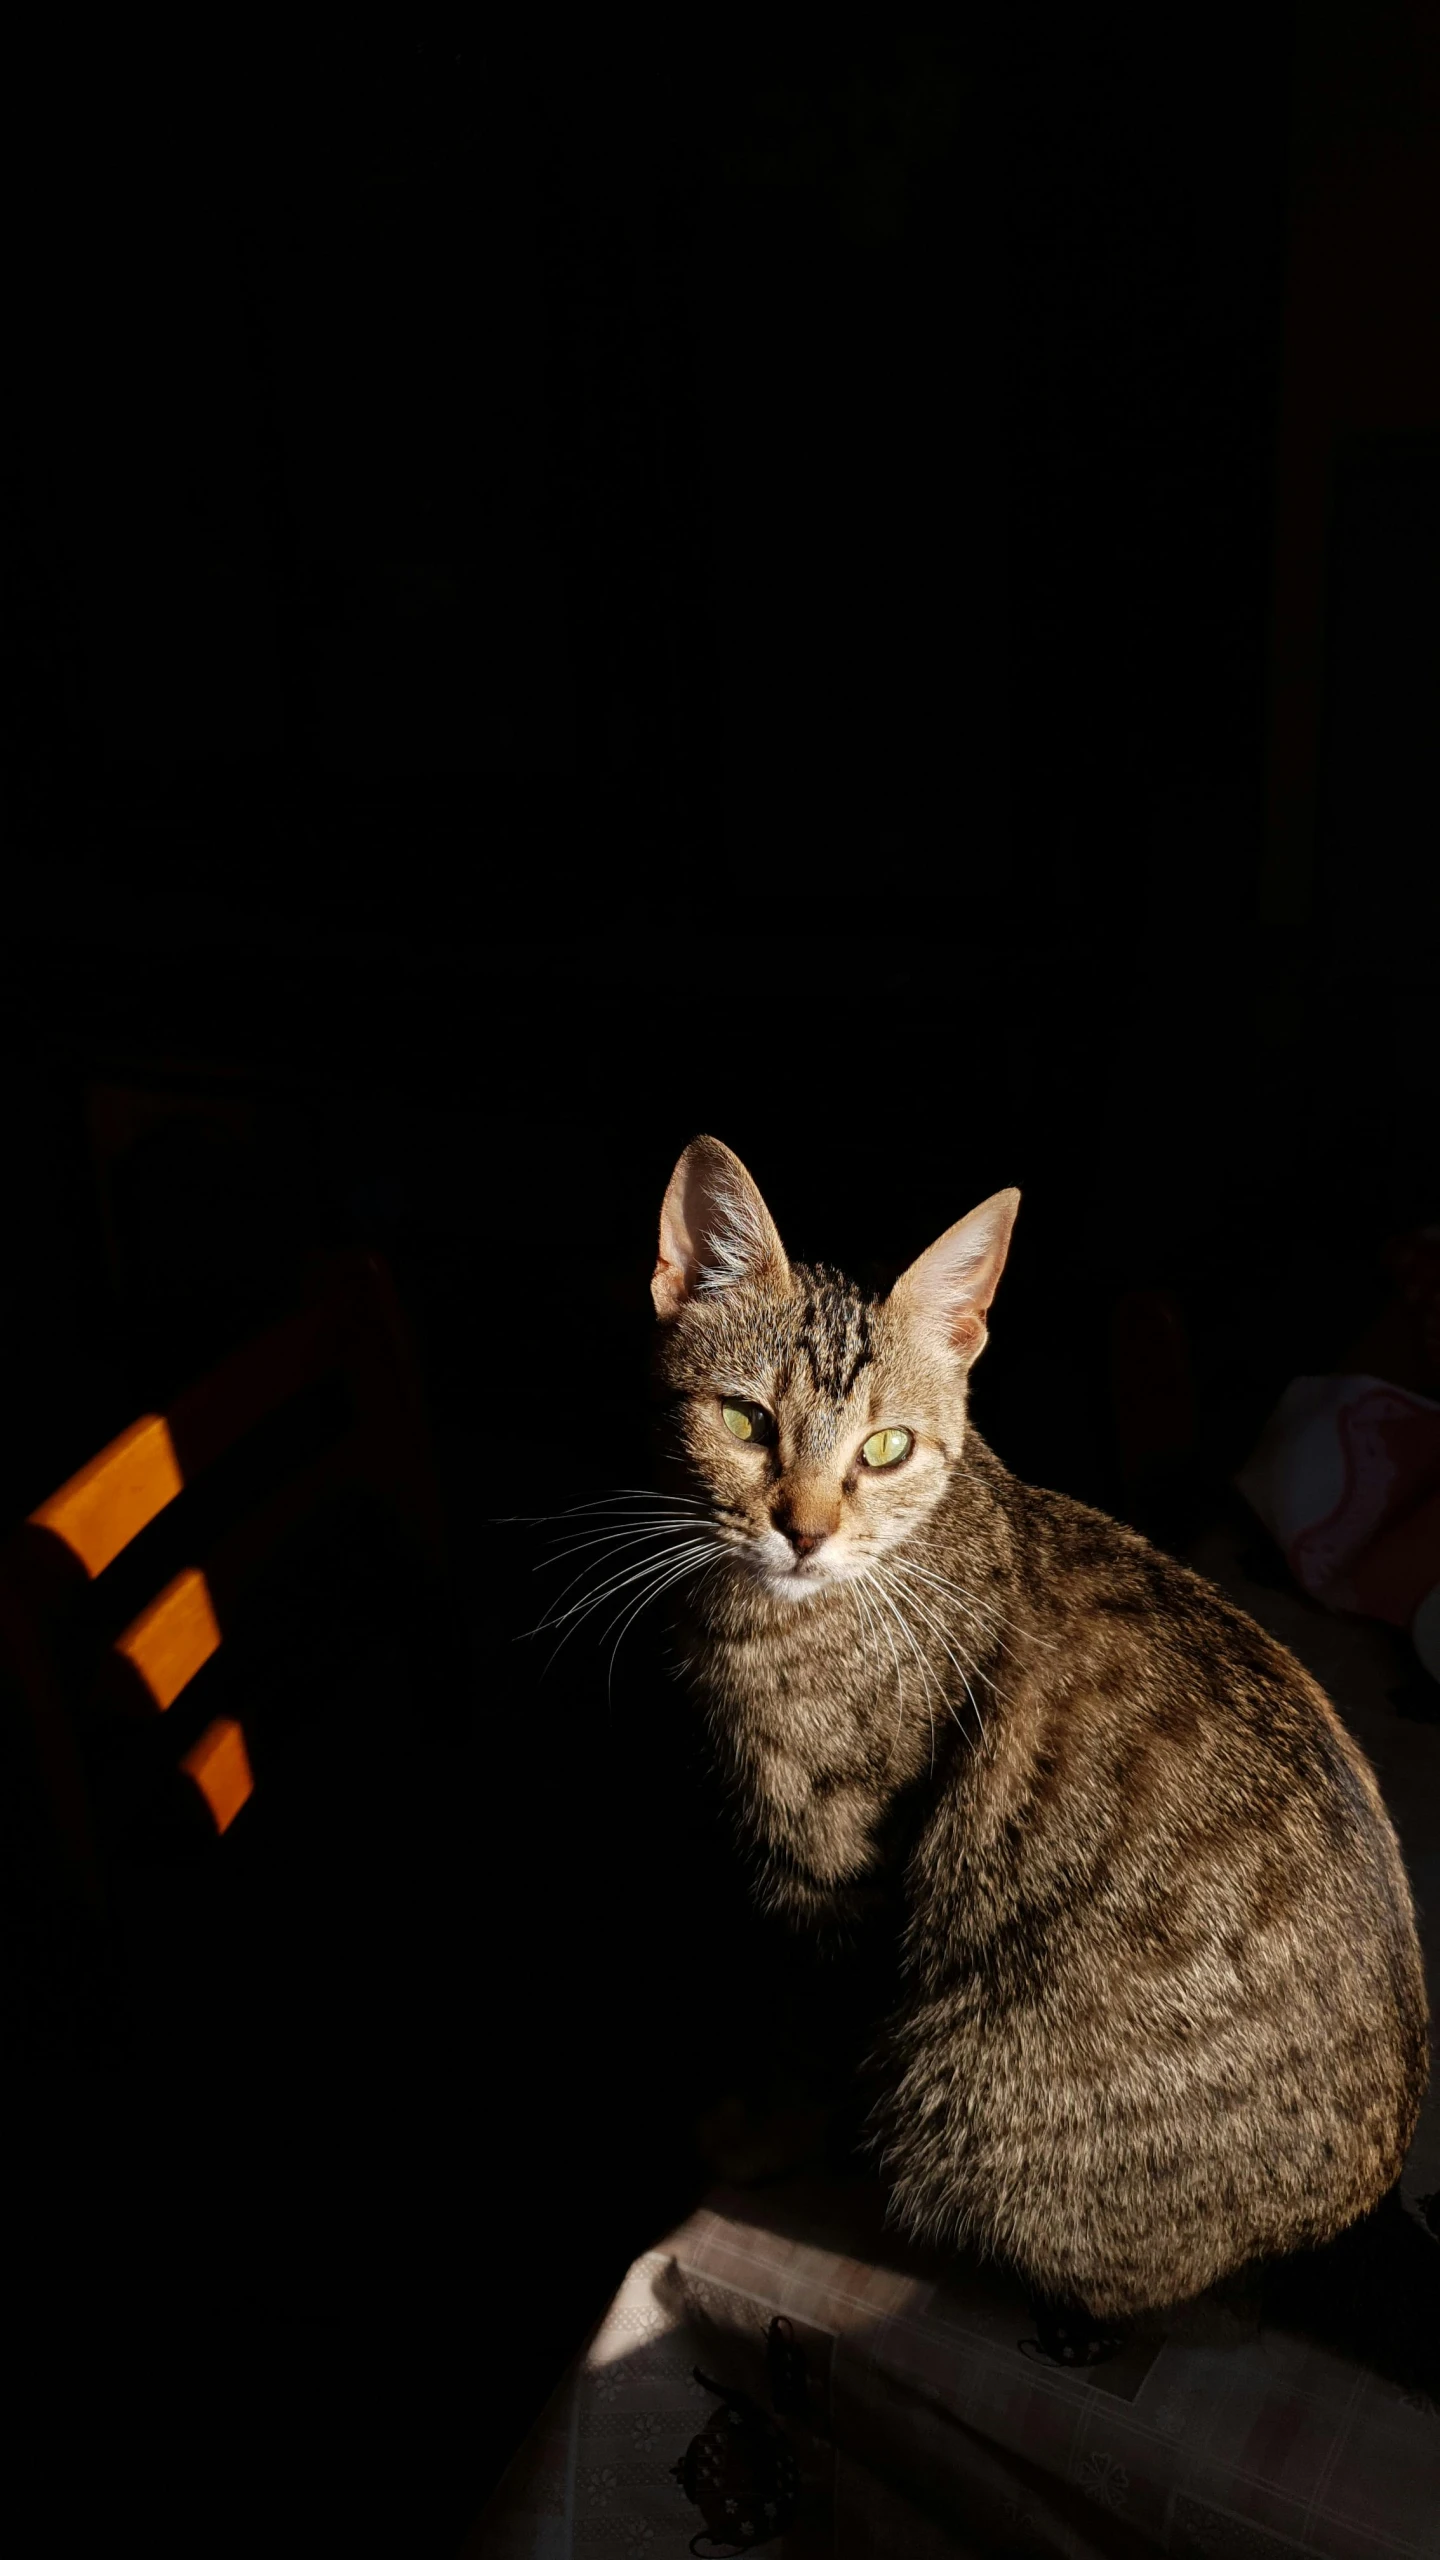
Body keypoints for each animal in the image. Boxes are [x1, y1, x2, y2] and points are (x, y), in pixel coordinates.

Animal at [638, 1131, 1424, 2334]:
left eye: (886, 1446)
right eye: (743, 1421)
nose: (804, 1530)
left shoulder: (837, 1882)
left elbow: (809, 2041)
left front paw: (762, 2140)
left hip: (957, 2090)